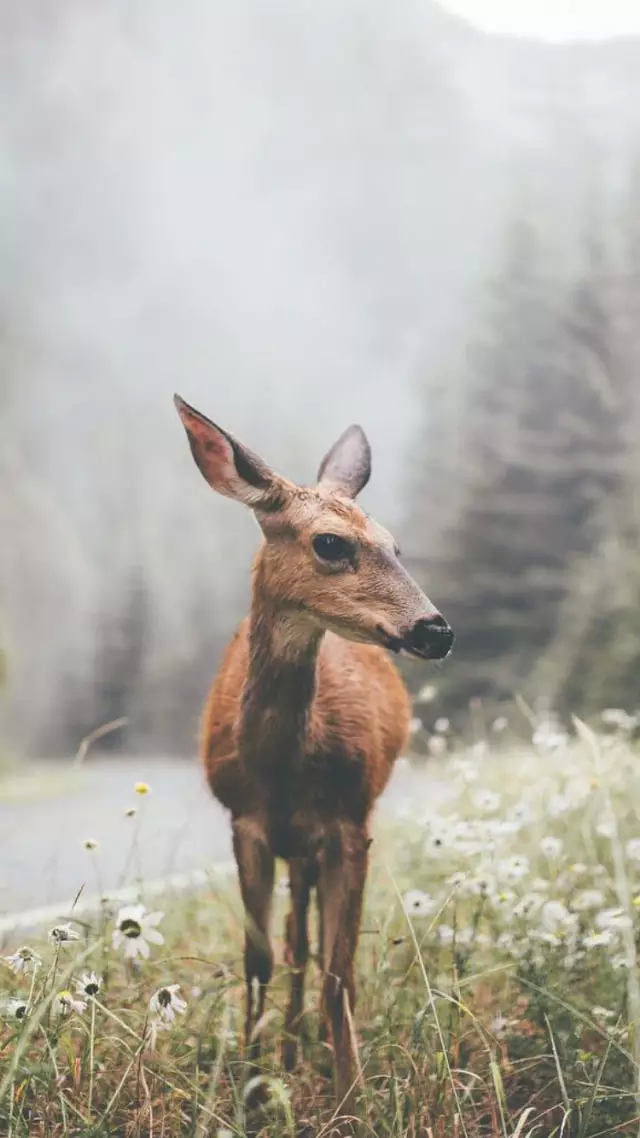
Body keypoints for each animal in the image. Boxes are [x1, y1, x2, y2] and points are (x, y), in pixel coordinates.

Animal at [171, 396, 450, 1133]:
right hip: (294, 846)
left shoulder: (351, 822)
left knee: (315, 942)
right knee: (295, 938)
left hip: (327, 835)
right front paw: (250, 1086)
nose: (437, 629)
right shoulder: (244, 821)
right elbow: (260, 957)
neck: (282, 772)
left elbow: (338, 967)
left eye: (395, 546)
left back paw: (313, 1049)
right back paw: (292, 1051)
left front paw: (353, 1099)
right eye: (330, 543)